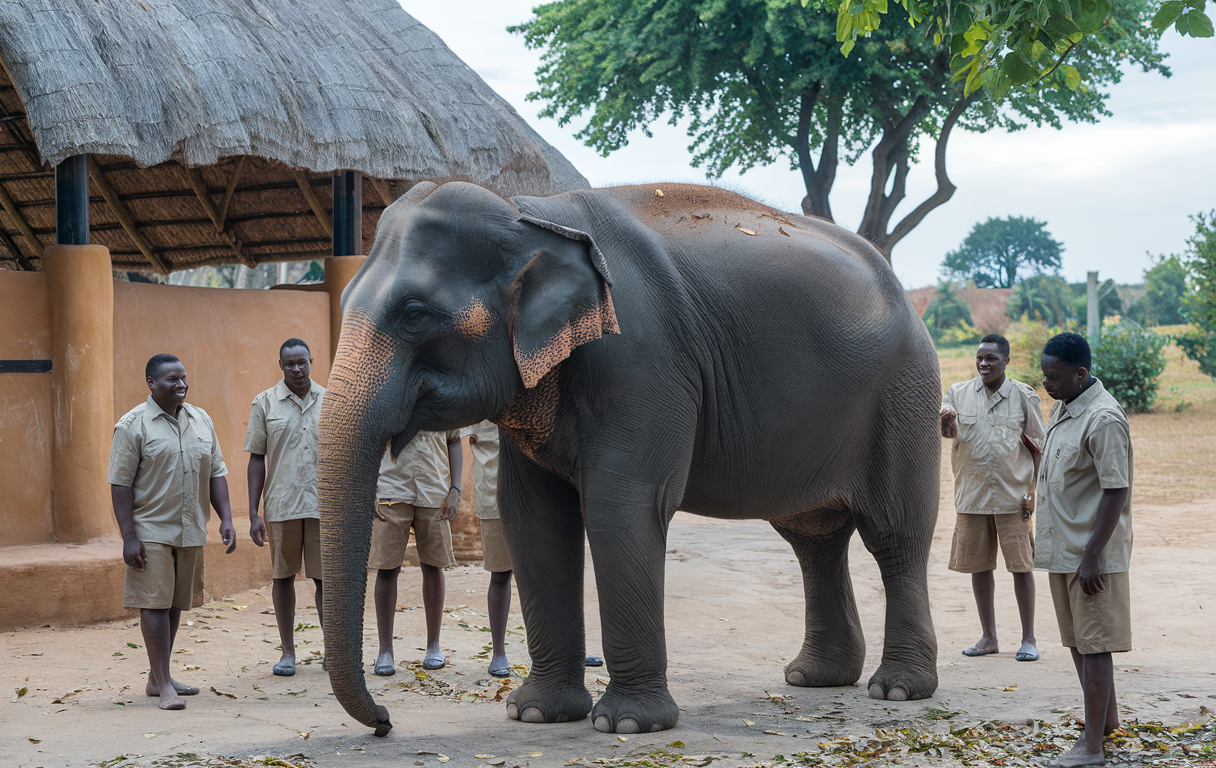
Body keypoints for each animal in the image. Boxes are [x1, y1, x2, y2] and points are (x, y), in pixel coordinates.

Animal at [317, 180, 941, 738]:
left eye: (415, 313)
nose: (385, 721)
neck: (529, 213)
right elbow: (532, 514)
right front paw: (536, 714)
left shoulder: (642, 362)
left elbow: (622, 504)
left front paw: (627, 724)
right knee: (813, 538)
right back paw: (815, 677)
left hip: (905, 394)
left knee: (896, 535)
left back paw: (897, 689)